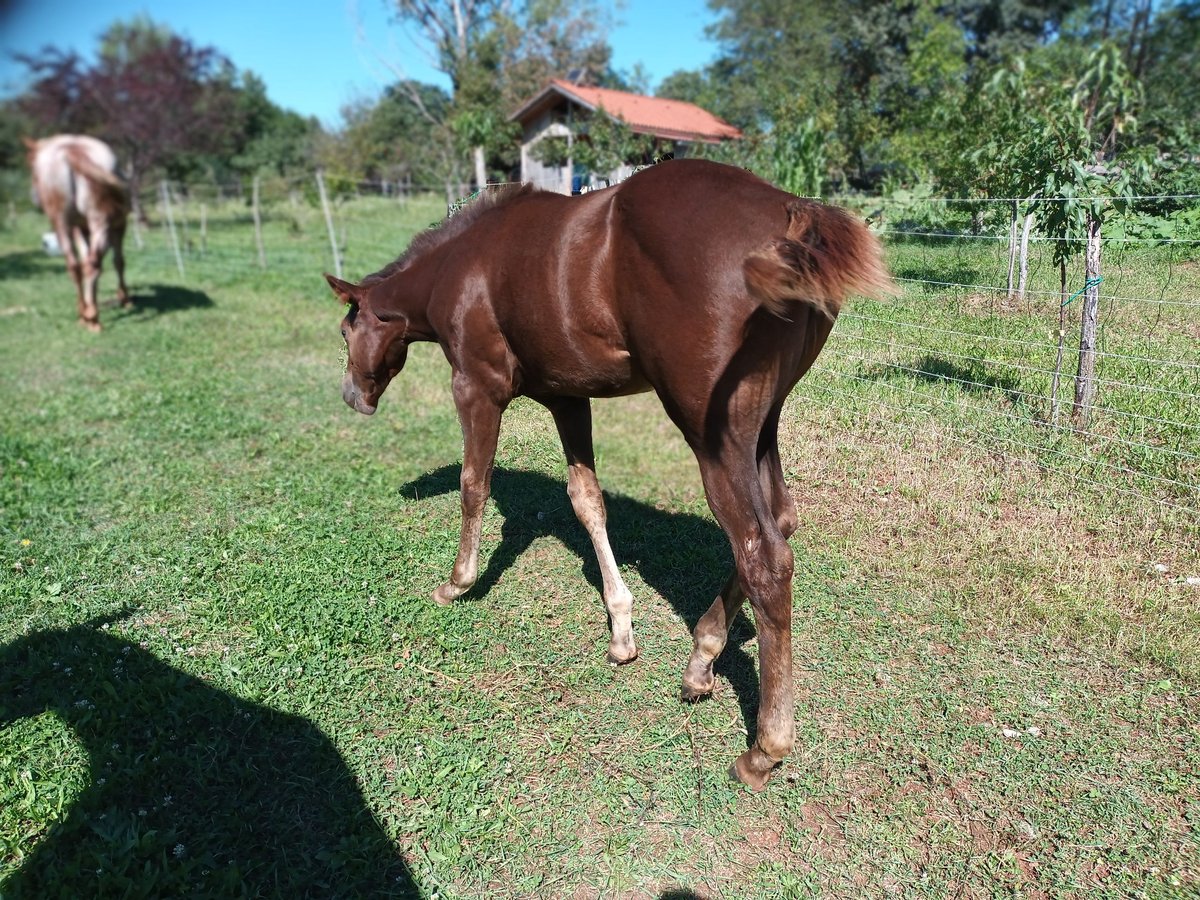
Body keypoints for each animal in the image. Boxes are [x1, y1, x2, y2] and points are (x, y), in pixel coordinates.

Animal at [25, 134, 131, 331]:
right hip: (98, 222)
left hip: (62, 224)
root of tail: (71, 149)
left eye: (33, 170)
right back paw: (91, 317)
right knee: (90, 264)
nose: (34, 198)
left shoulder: (85, 229)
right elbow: (117, 261)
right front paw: (124, 299)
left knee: (76, 265)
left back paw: (86, 315)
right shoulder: (113, 226)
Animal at [325, 159, 893, 790]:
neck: (462, 265)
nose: (352, 396)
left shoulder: (477, 386)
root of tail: (792, 210)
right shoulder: (567, 398)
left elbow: (475, 485)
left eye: (346, 332)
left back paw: (764, 748)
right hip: (762, 424)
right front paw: (621, 630)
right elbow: (586, 500)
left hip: (715, 437)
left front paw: (458, 582)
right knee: (782, 522)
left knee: (763, 555)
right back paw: (701, 659)